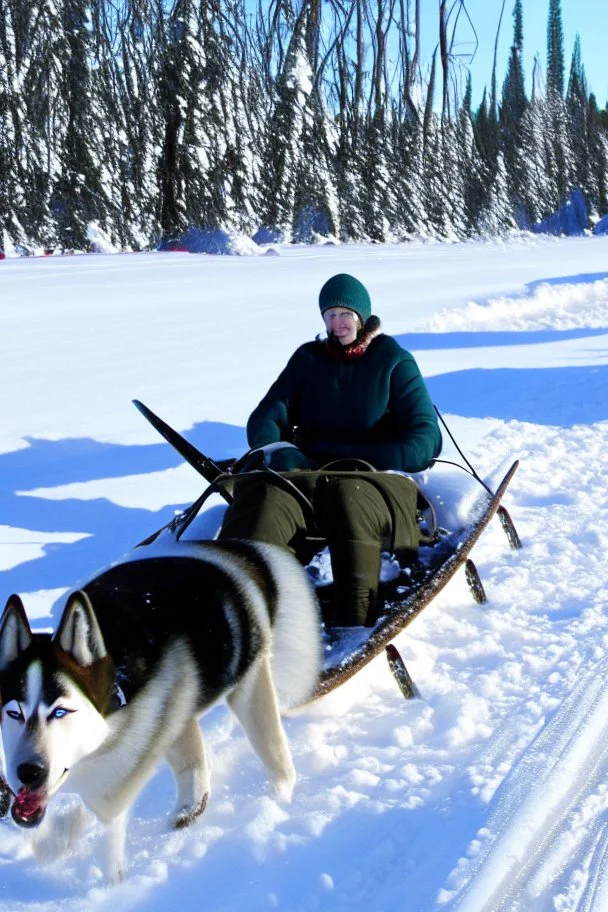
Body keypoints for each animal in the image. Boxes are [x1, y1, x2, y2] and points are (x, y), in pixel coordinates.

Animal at [0, 536, 324, 880]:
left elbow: (108, 803)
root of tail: (234, 554)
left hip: (245, 687)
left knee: (271, 750)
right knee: (194, 758)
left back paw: (277, 795)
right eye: (13, 712)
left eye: (60, 711)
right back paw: (191, 805)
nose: (28, 772)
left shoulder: (132, 749)